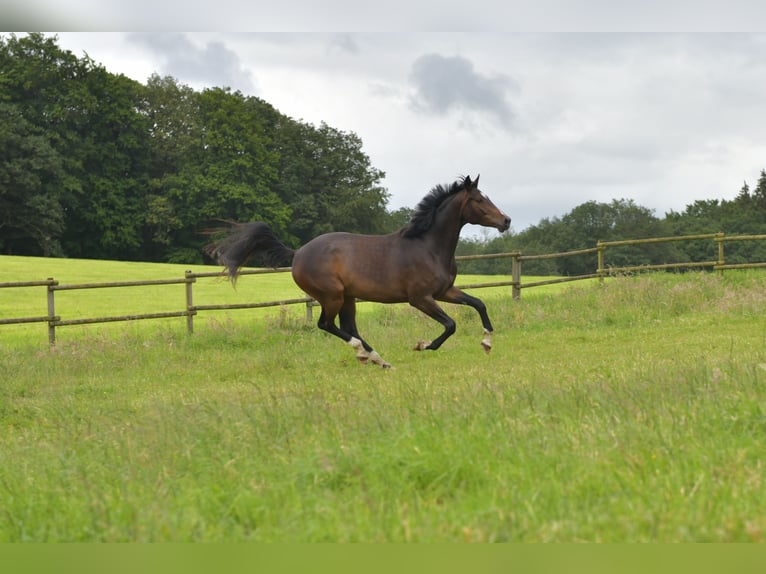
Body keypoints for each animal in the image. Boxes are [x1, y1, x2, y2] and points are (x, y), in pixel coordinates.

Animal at [207, 173, 512, 368]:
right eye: (479, 200)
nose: (506, 221)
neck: (428, 246)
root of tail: (298, 253)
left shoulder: (445, 291)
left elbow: (479, 304)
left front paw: (487, 342)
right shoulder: (421, 298)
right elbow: (450, 325)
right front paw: (422, 345)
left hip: (348, 297)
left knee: (348, 326)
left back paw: (378, 359)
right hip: (332, 296)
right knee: (327, 325)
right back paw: (365, 354)